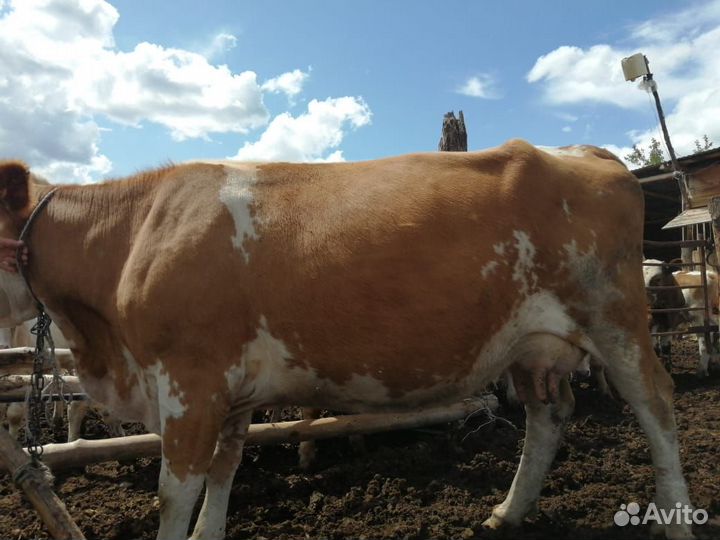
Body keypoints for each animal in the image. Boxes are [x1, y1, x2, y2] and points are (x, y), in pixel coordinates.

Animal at [0, 140, 693, 540]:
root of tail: (587, 151)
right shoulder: (231, 390)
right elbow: (224, 474)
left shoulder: (188, 382)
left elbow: (176, 494)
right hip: (529, 342)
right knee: (549, 416)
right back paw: (508, 513)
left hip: (614, 319)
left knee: (657, 404)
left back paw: (676, 519)